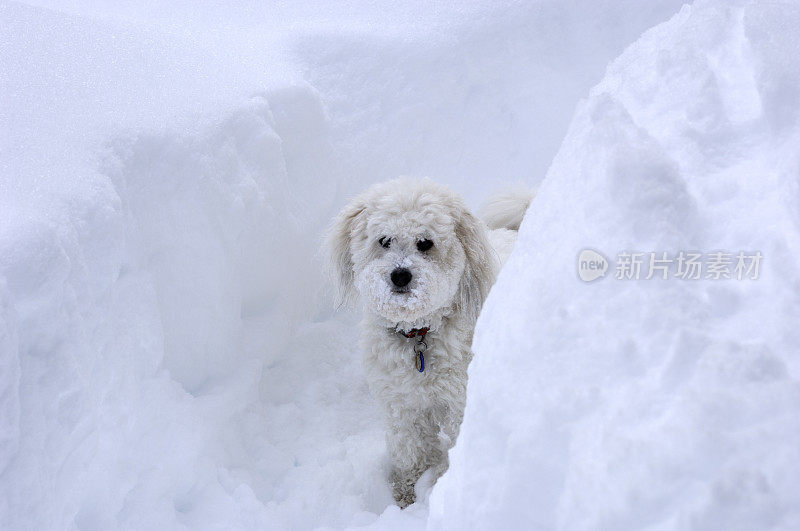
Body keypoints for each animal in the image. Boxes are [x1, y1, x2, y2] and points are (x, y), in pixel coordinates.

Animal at [324, 179, 532, 508]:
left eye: (425, 243)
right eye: (384, 240)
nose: (400, 275)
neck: (419, 333)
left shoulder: (460, 399)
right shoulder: (402, 403)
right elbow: (410, 448)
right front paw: (409, 491)